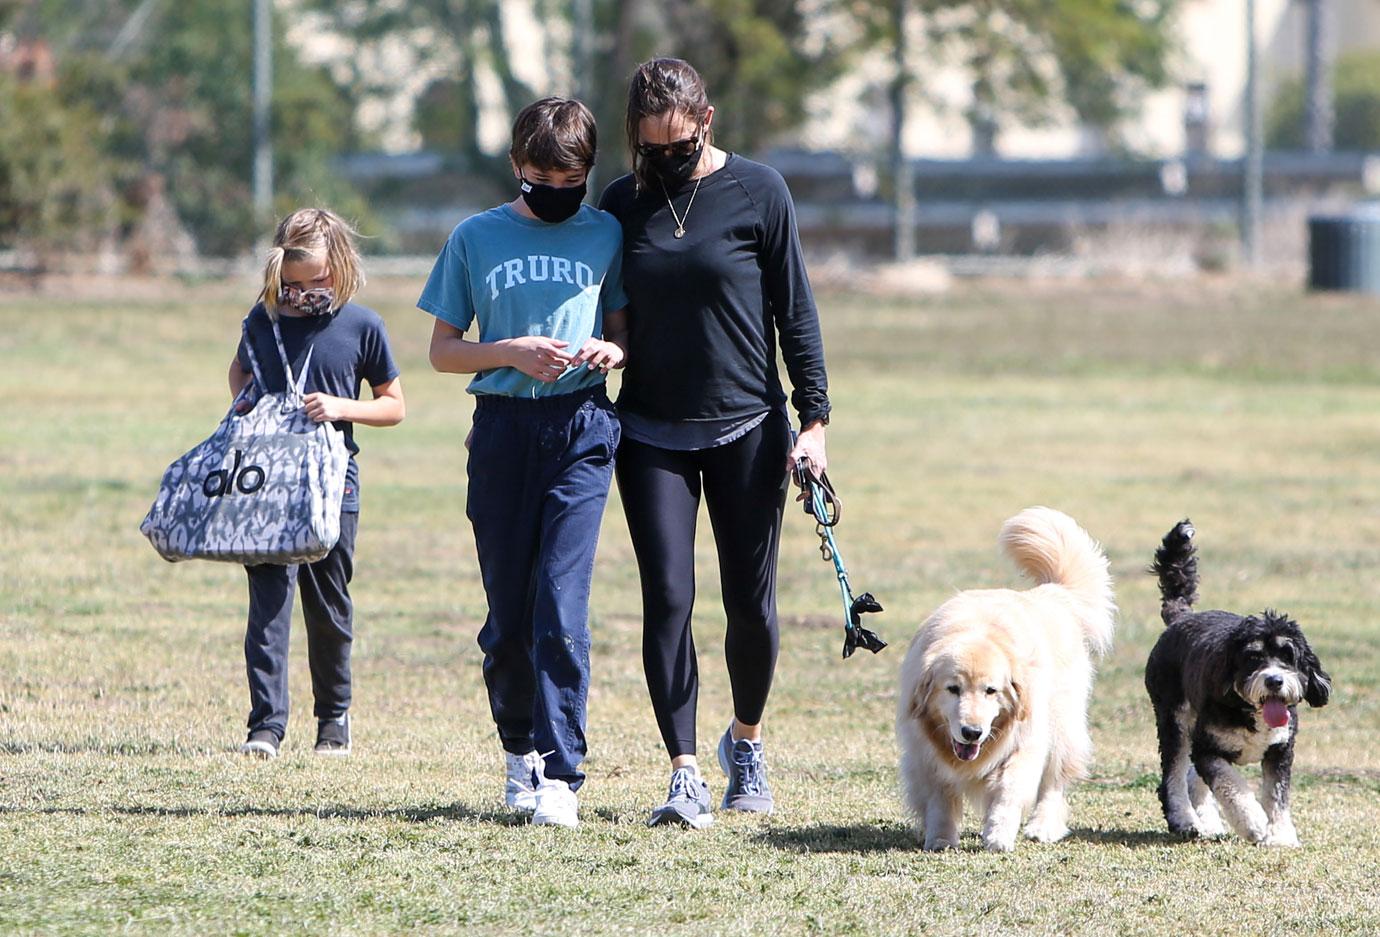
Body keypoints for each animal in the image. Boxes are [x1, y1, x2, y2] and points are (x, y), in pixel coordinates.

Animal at [1142, 521, 1324, 850]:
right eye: (1253, 657)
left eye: (1288, 656)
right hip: (1174, 720)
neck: (1248, 709)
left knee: (1193, 779)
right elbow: (1232, 787)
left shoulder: (1280, 751)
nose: (1274, 680)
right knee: (1174, 777)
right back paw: (1185, 821)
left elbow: (1277, 795)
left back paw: (1210, 823)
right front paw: (1254, 824)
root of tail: (1180, 618)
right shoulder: (1208, 749)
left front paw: (1280, 836)